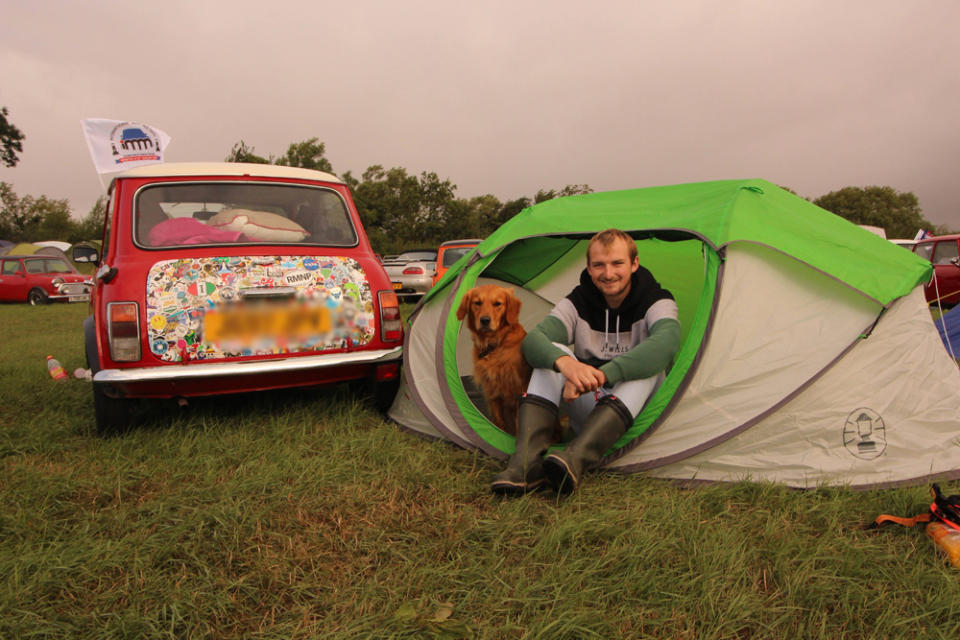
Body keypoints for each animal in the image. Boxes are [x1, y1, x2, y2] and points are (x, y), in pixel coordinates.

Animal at [458, 284, 532, 436]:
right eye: (477, 302)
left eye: (497, 303)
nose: (485, 320)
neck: (494, 345)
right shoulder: (492, 391)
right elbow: (499, 421)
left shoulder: (519, 389)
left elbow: (519, 424)